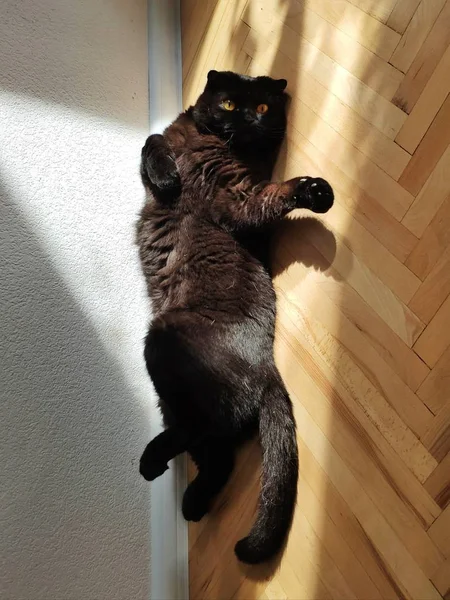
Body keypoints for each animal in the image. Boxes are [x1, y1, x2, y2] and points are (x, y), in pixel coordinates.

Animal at [137, 72, 334, 564]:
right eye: (228, 103)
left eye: (262, 108)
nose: (246, 118)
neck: (209, 143)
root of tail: (266, 364)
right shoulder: (170, 143)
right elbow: (151, 141)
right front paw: (168, 176)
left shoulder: (237, 198)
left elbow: (270, 196)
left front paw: (314, 192)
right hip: (174, 396)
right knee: (217, 452)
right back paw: (191, 502)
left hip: (163, 342)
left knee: (209, 431)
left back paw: (151, 464)